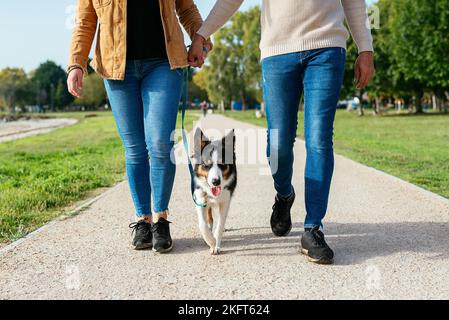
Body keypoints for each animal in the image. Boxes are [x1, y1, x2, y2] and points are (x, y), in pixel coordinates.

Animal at [193, 127, 238, 255]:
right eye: (206, 165)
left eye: (222, 164)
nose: (216, 182)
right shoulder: (200, 197)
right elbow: (202, 224)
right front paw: (211, 241)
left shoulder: (225, 201)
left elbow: (220, 225)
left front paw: (216, 244)